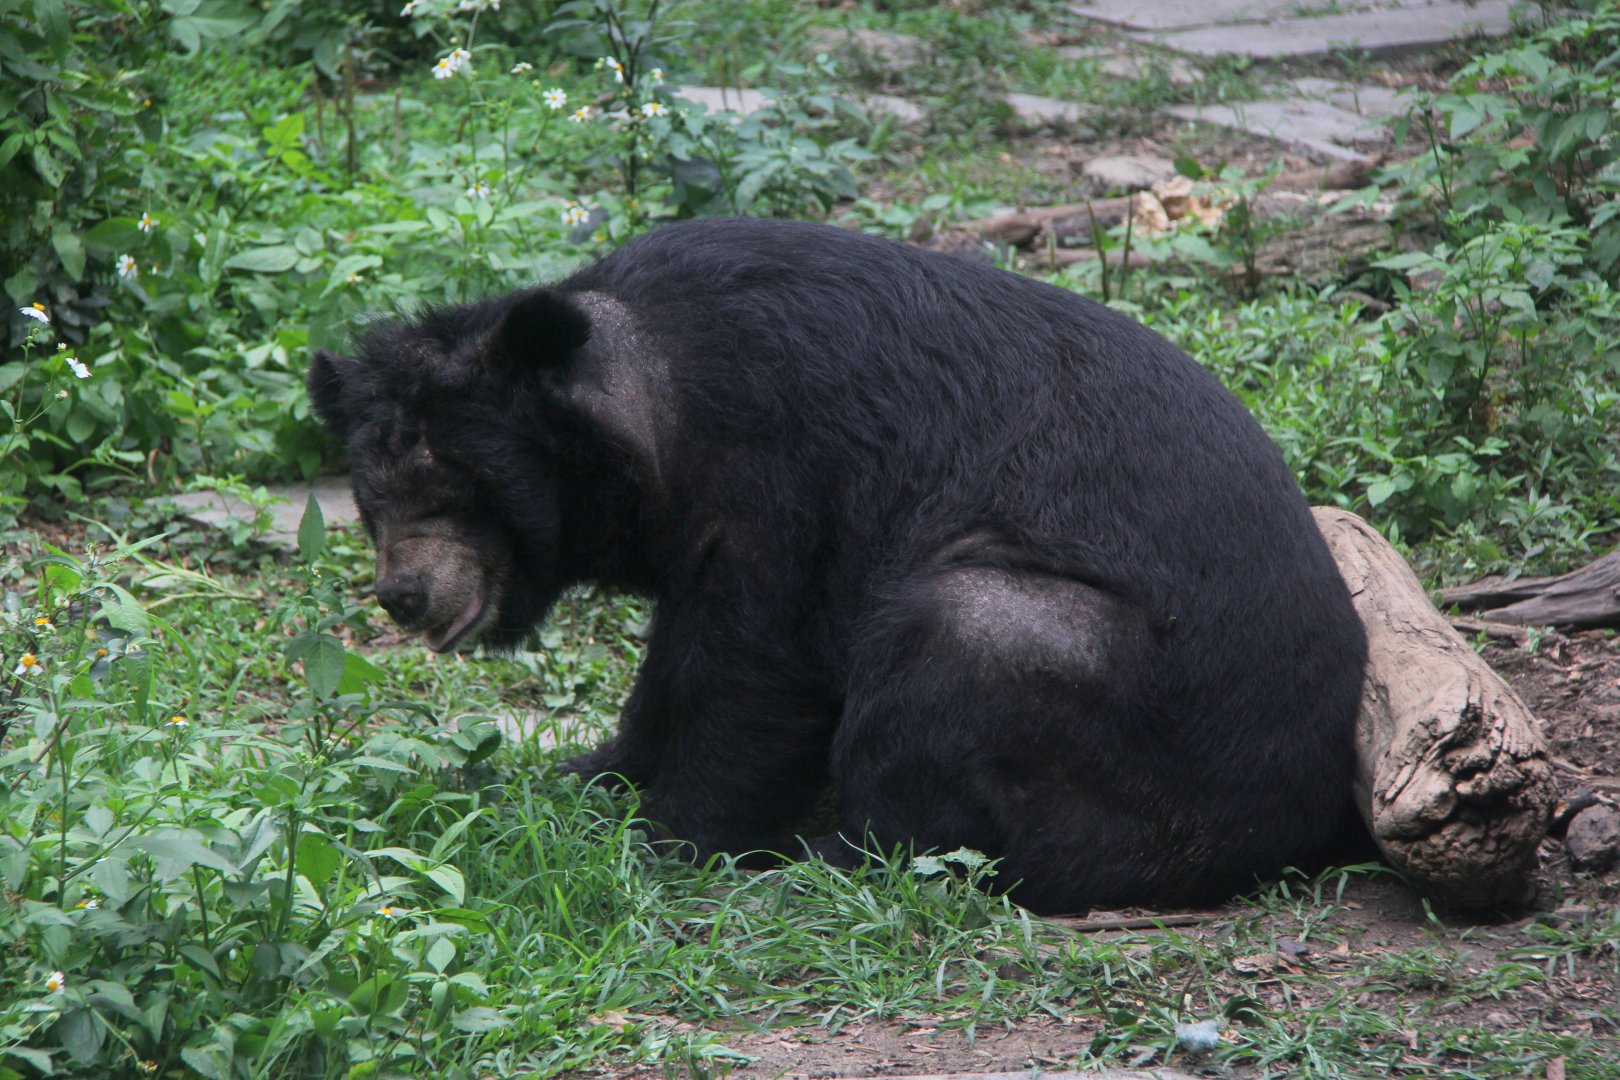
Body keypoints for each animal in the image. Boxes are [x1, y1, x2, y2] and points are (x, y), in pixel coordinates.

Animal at [308, 216, 1368, 914]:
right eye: (372, 503)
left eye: (453, 491)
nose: (405, 598)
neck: (655, 394)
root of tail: (1298, 813)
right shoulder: (701, 535)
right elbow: (674, 662)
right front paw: (591, 774)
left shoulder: (788, 475)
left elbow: (759, 672)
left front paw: (665, 842)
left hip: (1108, 705)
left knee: (954, 658)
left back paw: (827, 853)